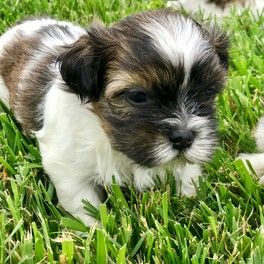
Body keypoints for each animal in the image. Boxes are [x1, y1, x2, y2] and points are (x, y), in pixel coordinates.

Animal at [0, 9, 228, 225]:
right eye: (138, 96)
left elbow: (187, 176)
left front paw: (190, 202)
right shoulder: (68, 164)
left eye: (208, 92)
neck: (106, 132)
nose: (184, 137)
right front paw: (92, 230)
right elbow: (82, 201)